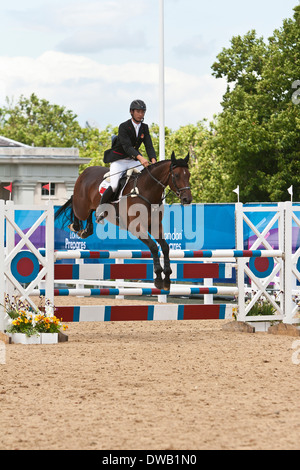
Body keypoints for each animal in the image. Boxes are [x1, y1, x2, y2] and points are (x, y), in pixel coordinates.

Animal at [55, 152, 192, 290]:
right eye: (176, 175)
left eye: (189, 174)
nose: (187, 199)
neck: (147, 191)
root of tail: (85, 172)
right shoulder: (136, 227)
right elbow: (153, 247)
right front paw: (158, 278)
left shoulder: (155, 226)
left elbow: (165, 247)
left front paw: (167, 279)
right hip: (81, 207)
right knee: (75, 207)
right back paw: (76, 226)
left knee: (92, 211)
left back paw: (87, 230)